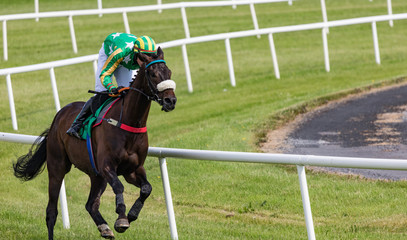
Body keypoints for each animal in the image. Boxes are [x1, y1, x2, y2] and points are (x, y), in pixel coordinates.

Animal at [11, 47, 175, 240]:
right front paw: (121, 218)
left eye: (169, 72)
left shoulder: (133, 169)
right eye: (153, 74)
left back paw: (104, 228)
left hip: (96, 175)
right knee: (51, 212)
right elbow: (119, 186)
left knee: (90, 204)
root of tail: (58, 116)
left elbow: (146, 188)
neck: (129, 122)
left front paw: (131, 214)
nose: (170, 101)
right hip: (57, 167)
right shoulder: (107, 165)